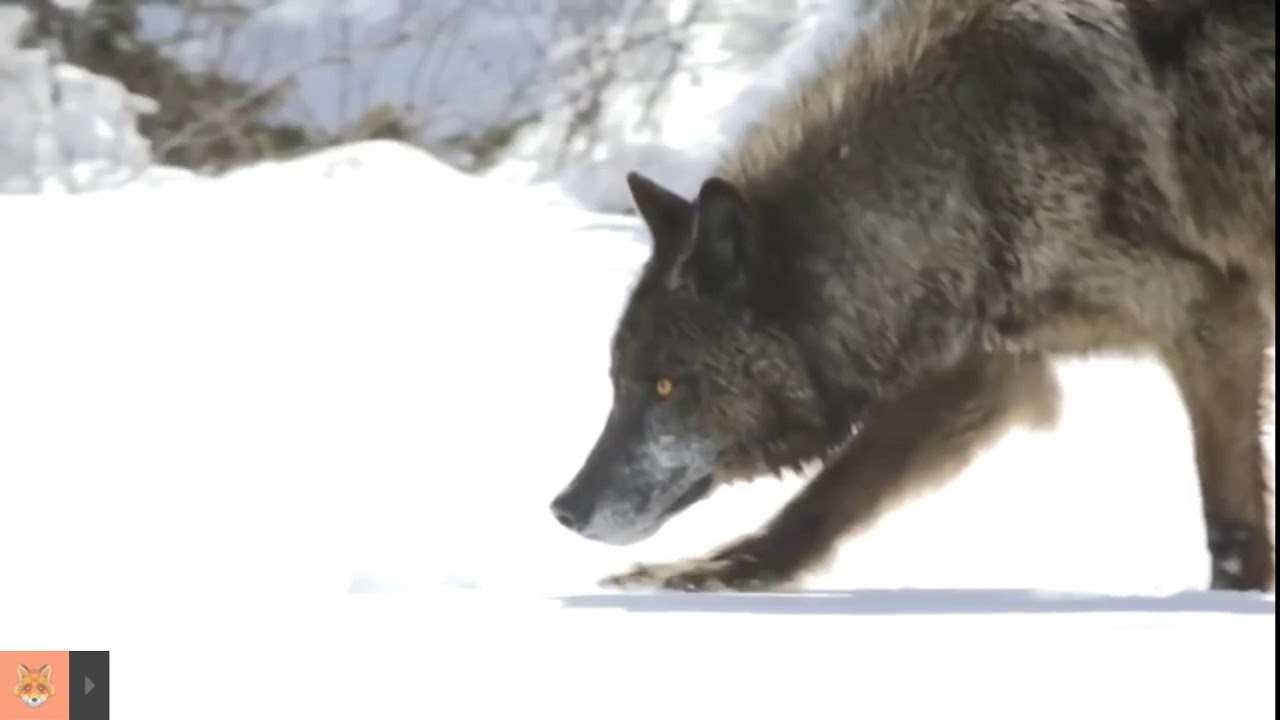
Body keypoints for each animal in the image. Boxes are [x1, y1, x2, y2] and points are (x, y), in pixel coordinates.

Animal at [545, 0, 1274, 589]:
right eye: (616, 383)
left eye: (666, 386)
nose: (565, 508)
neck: (965, 171)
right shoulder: (984, 374)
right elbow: (824, 499)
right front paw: (708, 574)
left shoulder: (1209, 314)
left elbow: (1230, 523)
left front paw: (1231, 602)